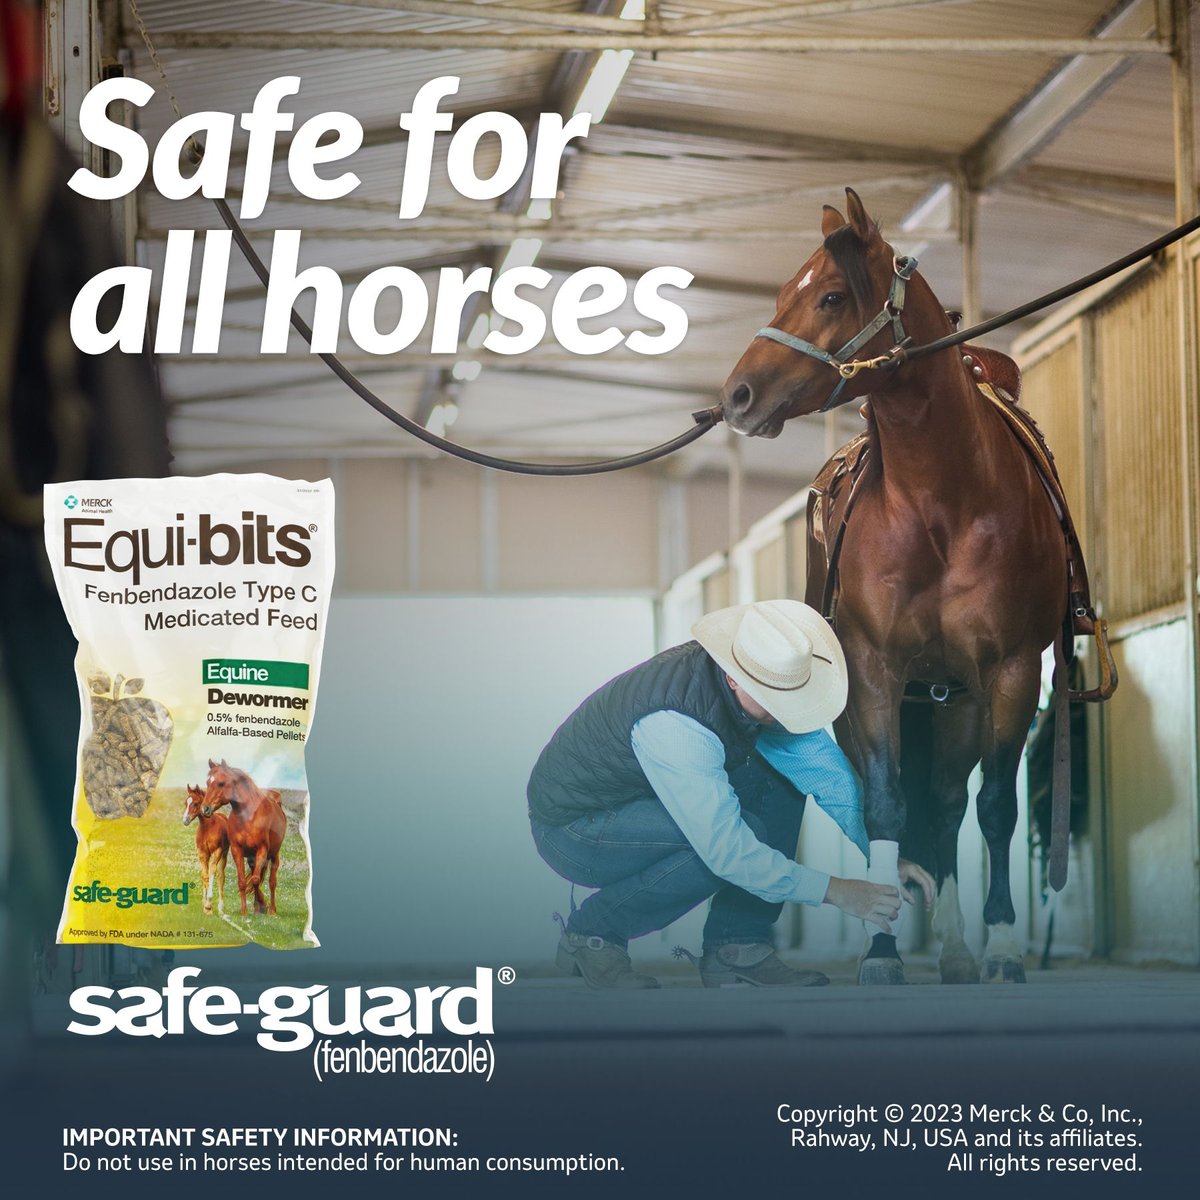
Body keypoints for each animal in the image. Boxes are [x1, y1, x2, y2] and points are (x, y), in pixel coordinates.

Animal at [183, 783, 230, 915]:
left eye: (195, 803)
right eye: (186, 802)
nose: (185, 820)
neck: (208, 827)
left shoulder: (217, 851)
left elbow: (212, 872)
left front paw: (209, 903)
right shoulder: (202, 853)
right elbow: (204, 875)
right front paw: (206, 906)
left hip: (224, 854)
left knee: (220, 876)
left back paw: (221, 908)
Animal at [201, 759, 287, 916]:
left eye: (221, 783)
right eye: (208, 782)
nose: (205, 808)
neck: (248, 817)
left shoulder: (262, 850)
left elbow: (256, 880)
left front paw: (262, 906)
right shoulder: (237, 851)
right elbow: (243, 881)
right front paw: (244, 911)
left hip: (274, 856)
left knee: (272, 881)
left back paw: (272, 910)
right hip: (253, 859)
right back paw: (257, 907)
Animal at [719, 189, 1067, 985]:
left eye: (830, 295)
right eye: (781, 295)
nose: (737, 395)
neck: (942, 501)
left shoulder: (1011, 670)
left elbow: (995, 808)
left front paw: (1005, 947)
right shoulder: (874, 671)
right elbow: (883, 805)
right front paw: (879, 949)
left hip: (958, 699)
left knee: (947, 806)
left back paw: (962, 949)